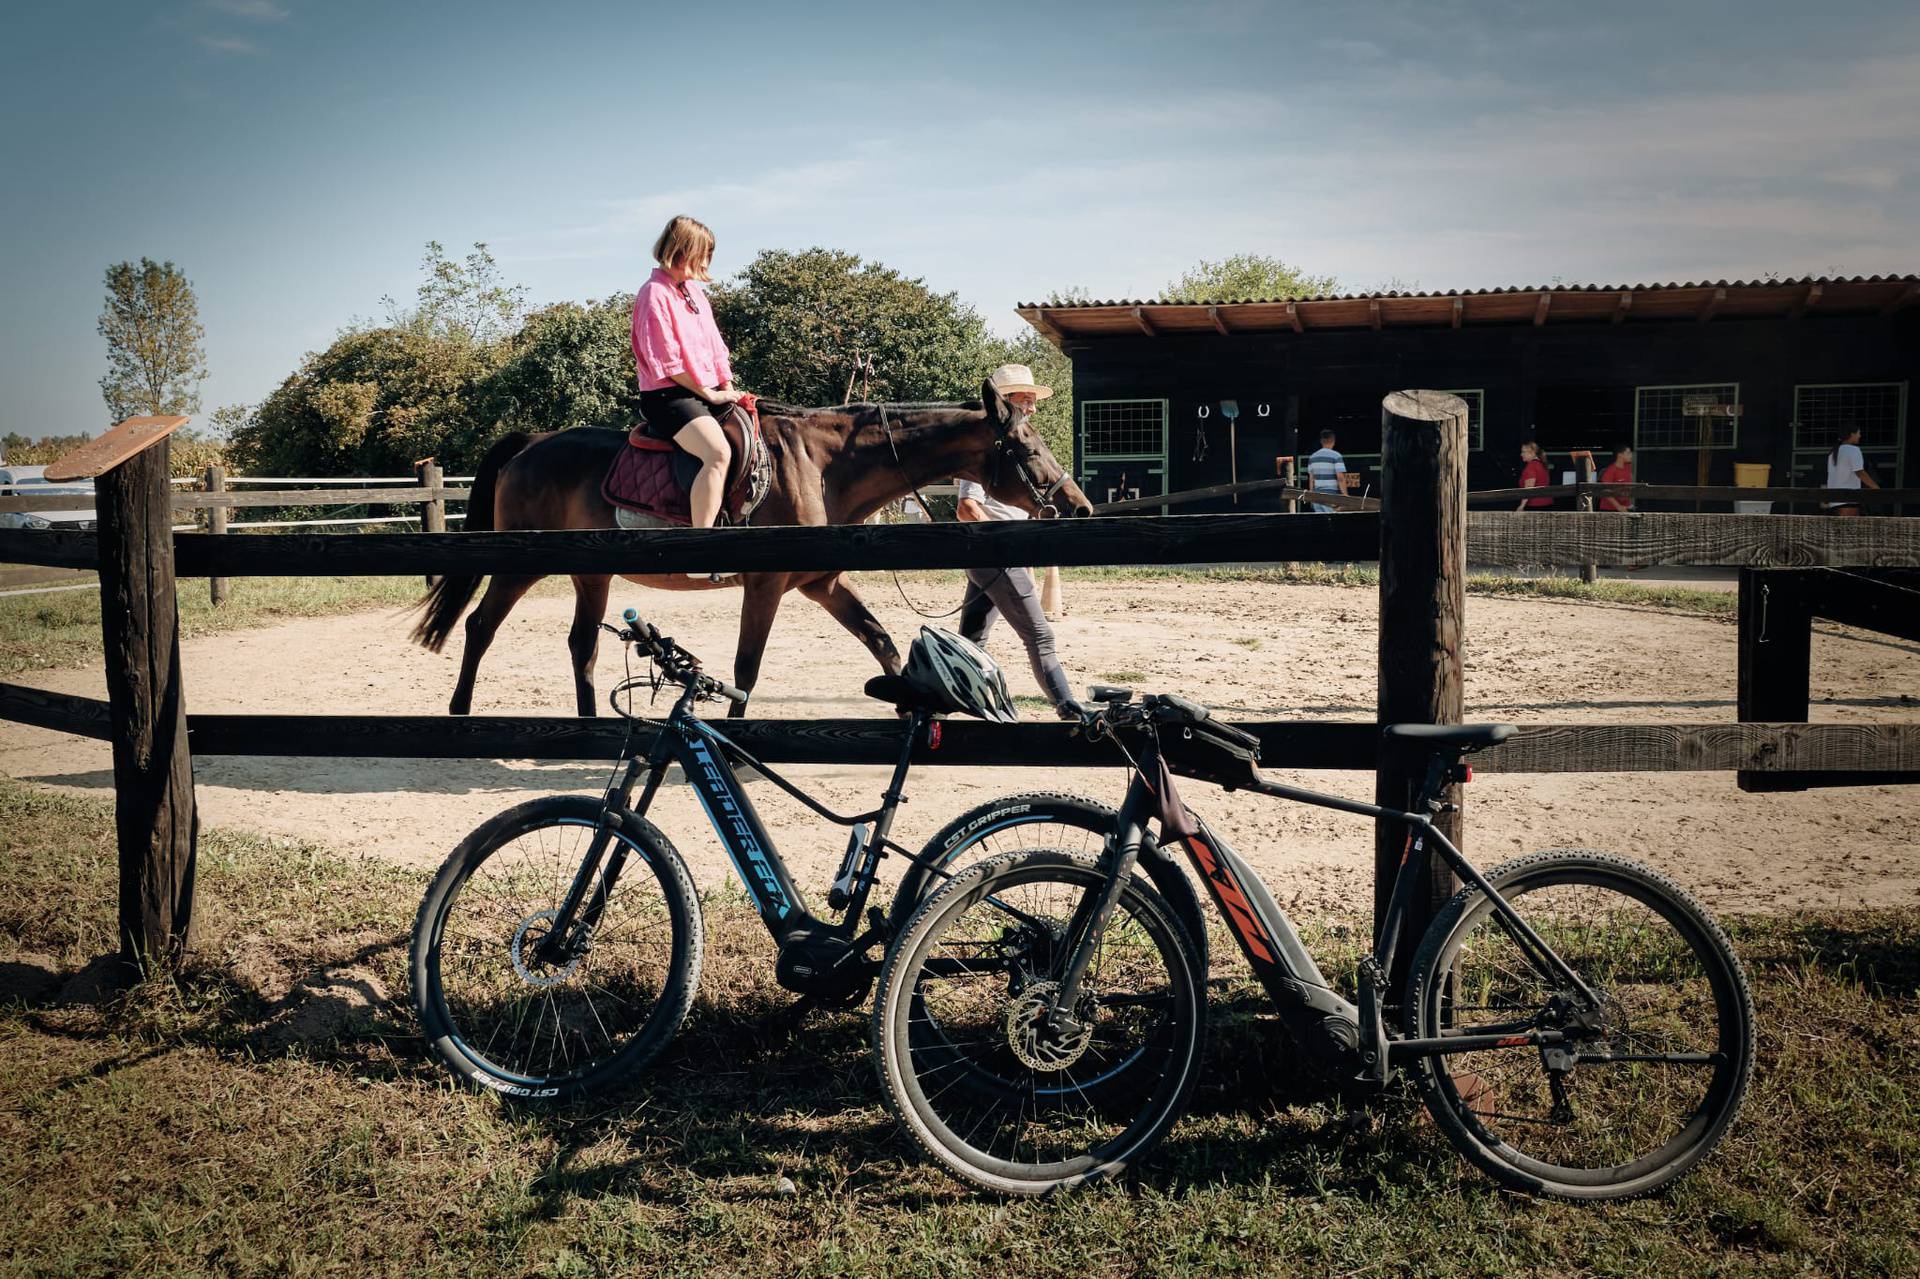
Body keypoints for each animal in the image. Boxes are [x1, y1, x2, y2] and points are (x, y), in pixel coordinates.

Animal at [410, 376, 1090, 718]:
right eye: (1028, 447)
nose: (1079, 507)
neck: (820, 465)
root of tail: (532, 443)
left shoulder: (822, 583)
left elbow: (882, 641)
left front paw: (909, 704)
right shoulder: (765, 584)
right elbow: (746, 666)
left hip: (591, 576)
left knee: (581, 644)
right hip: (519, 566)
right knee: (480, 626)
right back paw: (460, 712)